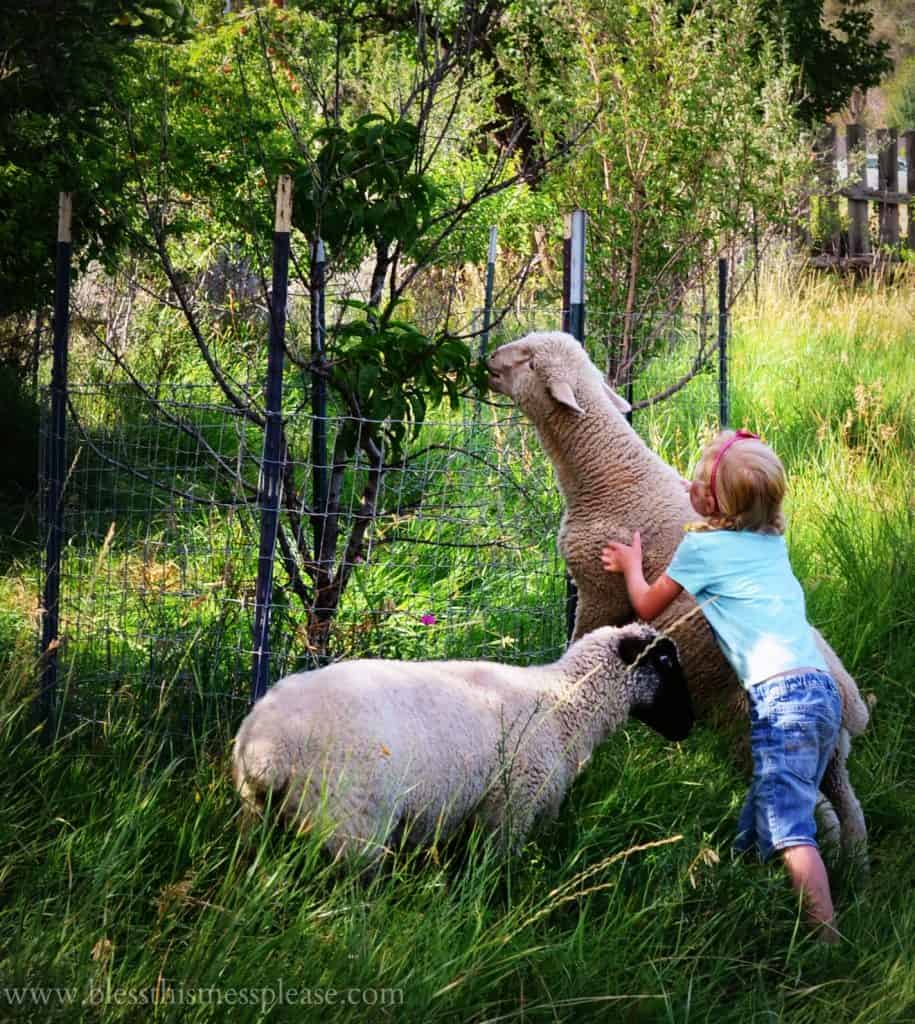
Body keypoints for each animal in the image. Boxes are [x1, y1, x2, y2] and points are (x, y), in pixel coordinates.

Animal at [233, 618, 691, 868]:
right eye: (665, 661)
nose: (689, 726)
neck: (565, 703)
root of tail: (265, 747)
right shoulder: (510, 807)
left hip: (259, 813)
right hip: (354, 821)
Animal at [491, 329, 872, 864]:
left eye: (526, 360)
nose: (488, 359)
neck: (608, 477)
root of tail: (848, 701)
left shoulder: (598, 589)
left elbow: (583, 638)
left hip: (756, 737)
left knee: (812, 811)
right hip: (832, 753)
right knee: (847, 808)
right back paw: (855, 865)